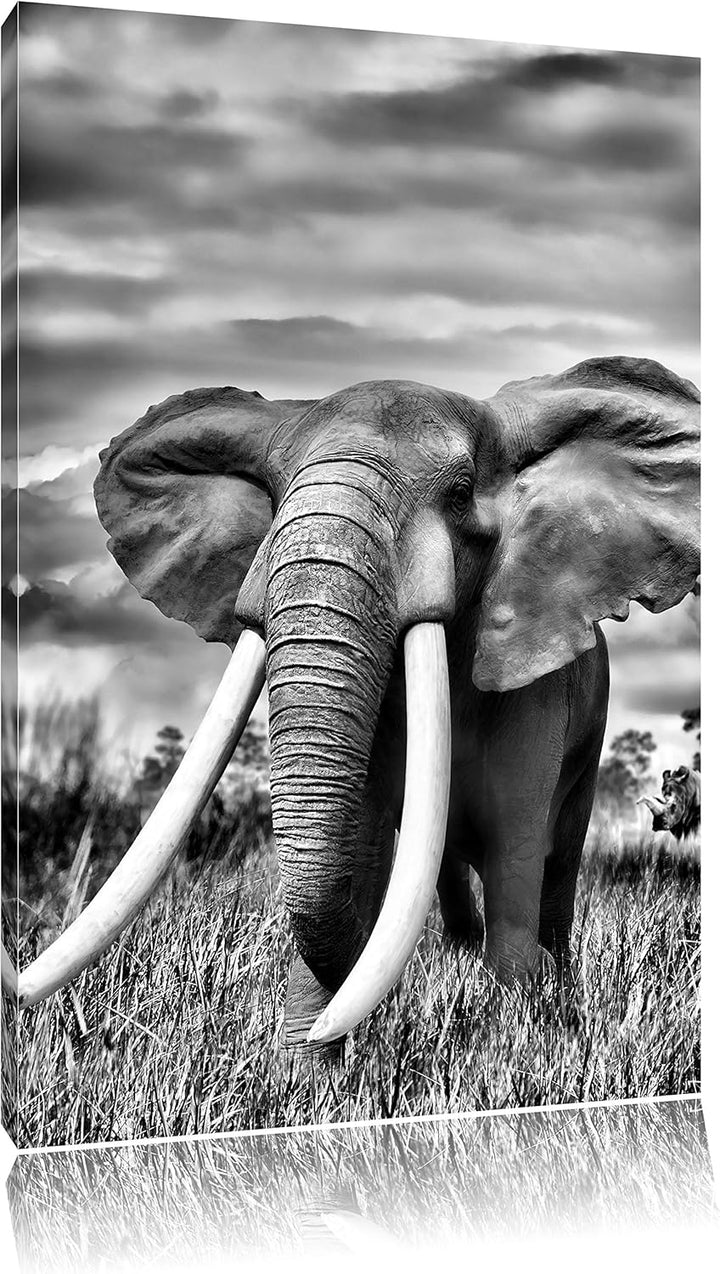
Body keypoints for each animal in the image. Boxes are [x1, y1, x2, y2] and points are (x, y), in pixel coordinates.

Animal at [4, 356, 699, 1050]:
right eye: (275, 493)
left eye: (460, 493)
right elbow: (359, 841)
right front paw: (308, 1071)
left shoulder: (537, 676)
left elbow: (515, 849)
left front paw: (516, 1045)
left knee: (554, 868)